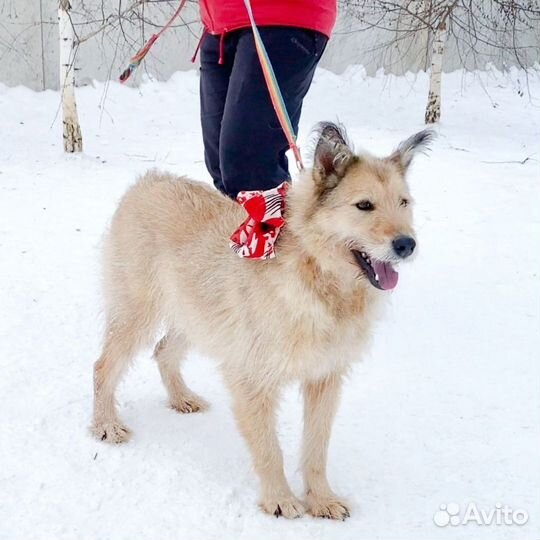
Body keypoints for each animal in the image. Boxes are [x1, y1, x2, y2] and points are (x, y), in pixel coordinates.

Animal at [90, 121, 432, 520]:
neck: (317, 275)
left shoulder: (325, 379)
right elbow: (270, 450)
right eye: (364, 205)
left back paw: (181, 398)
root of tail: (149, 180)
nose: (407, 244)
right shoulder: (251, 379)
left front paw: (321, 498)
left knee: (162, 351)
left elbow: (316, 448)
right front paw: (280, 499)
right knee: (103, 367)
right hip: (137, 314)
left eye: (404, 203)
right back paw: (105, 424)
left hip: (196, 316)